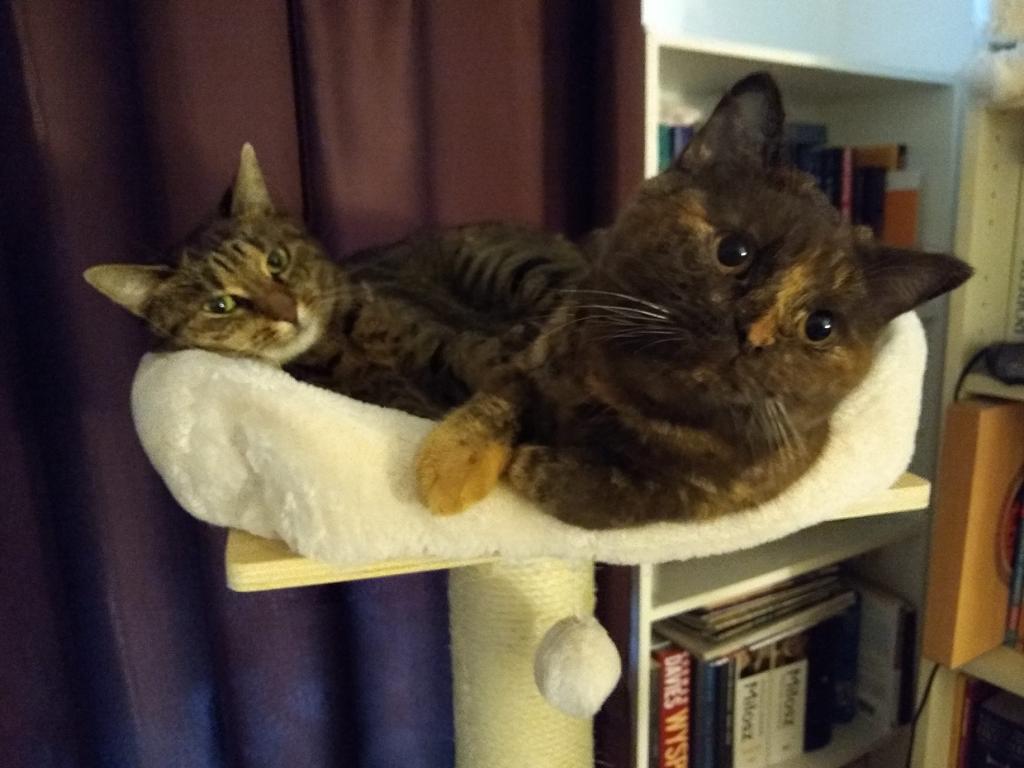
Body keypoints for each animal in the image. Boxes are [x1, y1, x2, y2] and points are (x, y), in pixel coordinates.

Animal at [84, 144, 587, 418]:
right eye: (219, 305)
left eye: (276, 260)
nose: (288, 311)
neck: (343, 342)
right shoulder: (392, 400)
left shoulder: (437, 342)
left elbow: (483, 358)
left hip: (506, 268)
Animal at [415, 72, 973, 528]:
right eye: (733, 251)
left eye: (820, 327)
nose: (753, 332)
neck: (629, 401)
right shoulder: (539, 350)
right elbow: (502, 394)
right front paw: (450, 467)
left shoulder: (730, 488)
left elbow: (620, 498)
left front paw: (537, 465)